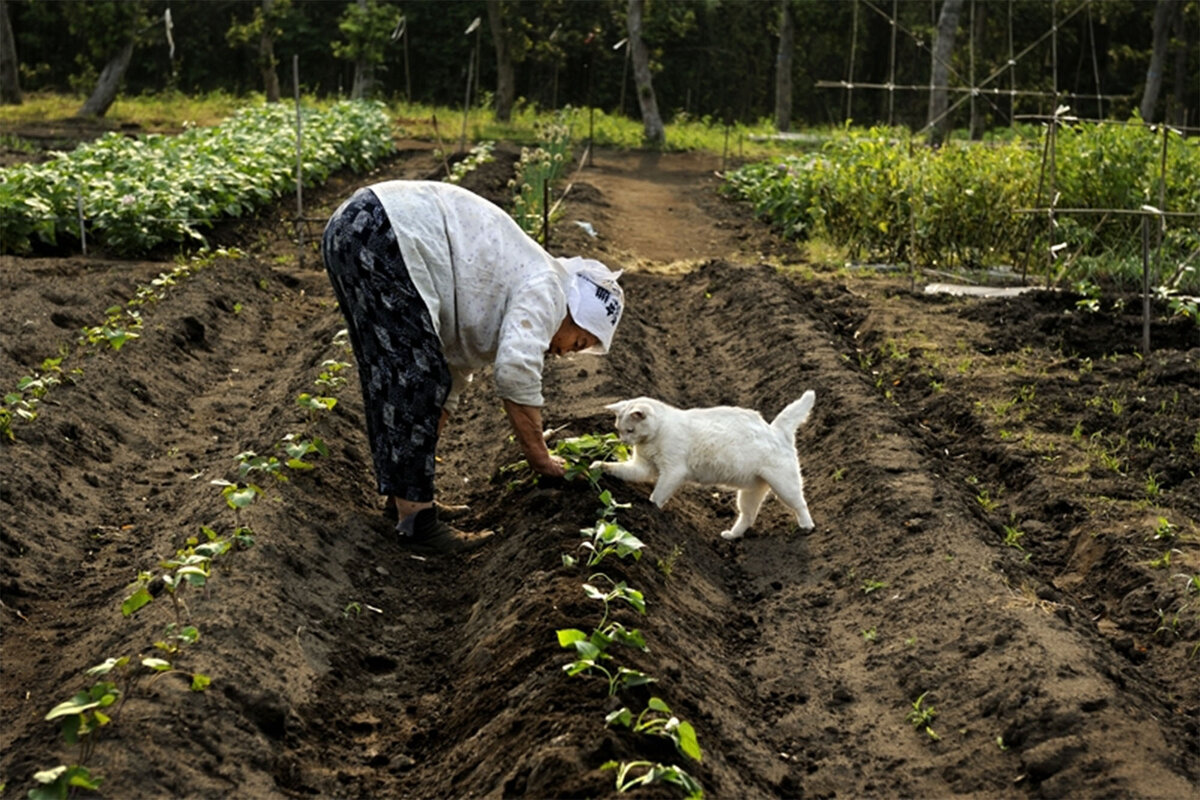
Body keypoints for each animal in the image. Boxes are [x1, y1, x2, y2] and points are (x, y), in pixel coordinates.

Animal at [590, 391, 816, 542]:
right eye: (618, 430)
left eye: (630, 430)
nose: (624, 441)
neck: (652, 439)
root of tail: (776, 430)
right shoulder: (643, 467)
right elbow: (618, 468)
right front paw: (597, 465)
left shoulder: (672, 472)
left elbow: (657, 495)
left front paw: (652, 510)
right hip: (750, 493)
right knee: (748, 517)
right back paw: (731, 536)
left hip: (784, 486)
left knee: (801, 504)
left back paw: (807, 527)